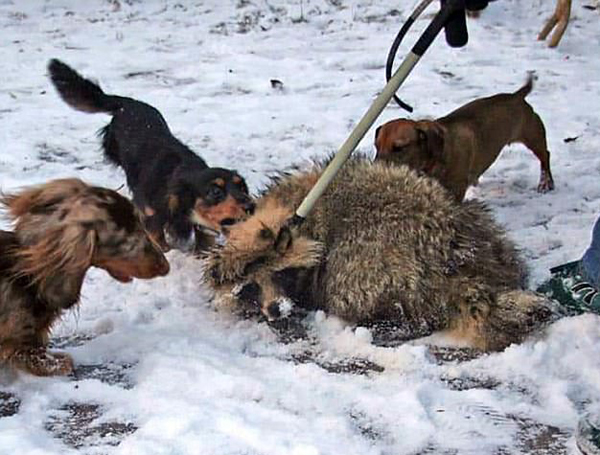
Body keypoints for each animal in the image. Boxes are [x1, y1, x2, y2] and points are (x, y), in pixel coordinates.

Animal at [1, 179, 170, 378]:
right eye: (125, 240)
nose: (166, 267)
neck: (26, 273)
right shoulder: (17, 339)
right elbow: (30, 353)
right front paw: (58, 363)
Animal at [47, 58, 253, 251]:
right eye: (215, 191)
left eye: (242, 187)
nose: (251, 207)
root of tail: (127, 102)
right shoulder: (151, 213)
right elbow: (157, 234)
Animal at [378, 75, 556, 200]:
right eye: (377, 146)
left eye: (399, 148)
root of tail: (516, 96)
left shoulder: (455, 189)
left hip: (533, 136)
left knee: (545, 155)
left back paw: (546, 182)